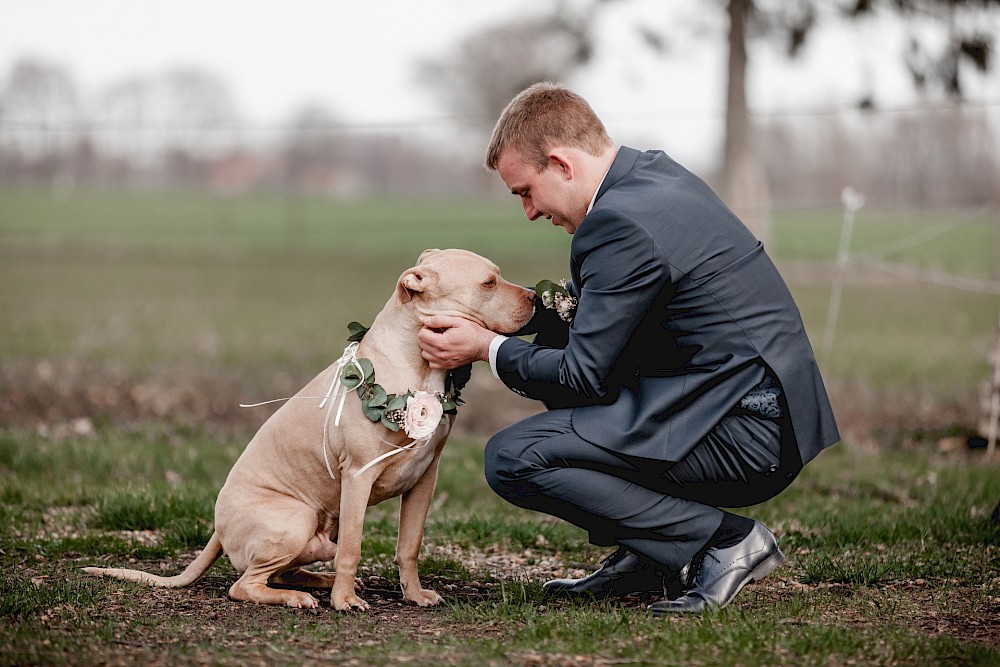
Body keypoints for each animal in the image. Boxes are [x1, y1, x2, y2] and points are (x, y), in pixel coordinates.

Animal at [84, 249, 540, 612]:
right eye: (488, 282)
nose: (537, 296)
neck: (418, 367)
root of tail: (217, 529)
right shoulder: (358, 477)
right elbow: (353, 548)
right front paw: (345, 601)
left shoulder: (425, 477)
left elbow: (408, 546)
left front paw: (413, 594)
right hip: (296, 519)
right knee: (246, 584)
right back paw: (303, 596)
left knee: (282, 572)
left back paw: (317, 582)